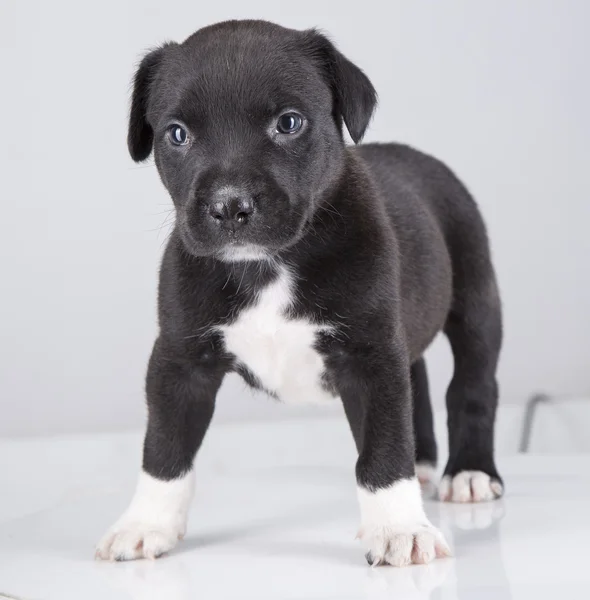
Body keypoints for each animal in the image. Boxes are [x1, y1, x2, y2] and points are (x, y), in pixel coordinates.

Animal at [97, 19, 504, 568]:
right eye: (177, 134)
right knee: (415, 378)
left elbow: (382, 448)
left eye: (289, 124)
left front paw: (398, 528)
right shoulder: (179, 362)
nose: (229, 205)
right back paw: (423, 463)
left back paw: (470, 472)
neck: (267, 264)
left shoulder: (369, 356)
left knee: (473, 386)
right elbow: (164, 446)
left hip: (477, 301)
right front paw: (146, 524)